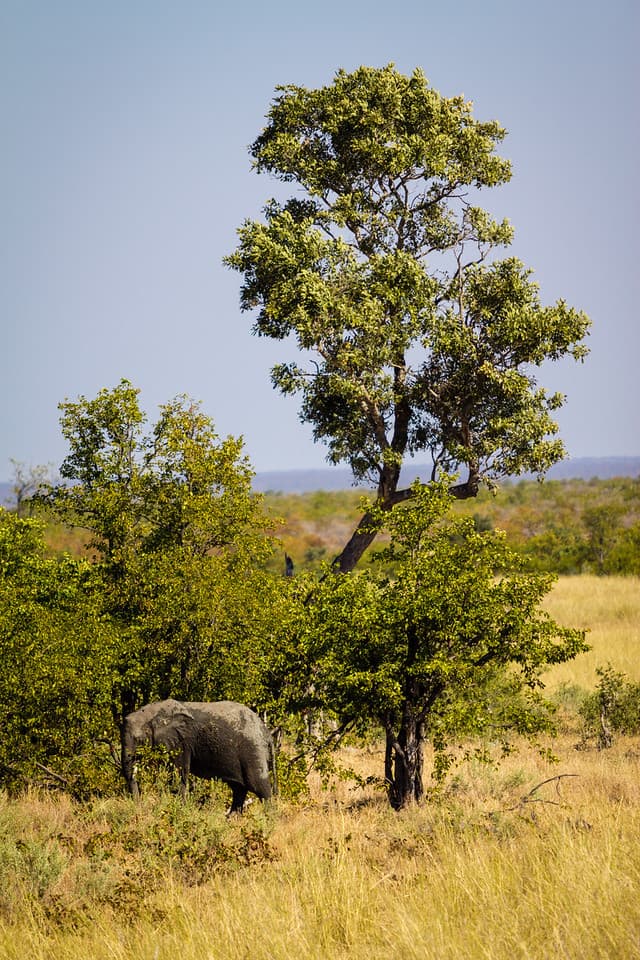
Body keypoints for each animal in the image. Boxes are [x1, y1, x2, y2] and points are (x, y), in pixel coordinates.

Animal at [121, 699, 276, 813]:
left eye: (139, 740)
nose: (138, 805)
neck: (153, 713)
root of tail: (266, 732)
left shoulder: (182, 741)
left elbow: (178, 775)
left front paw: (181, 811)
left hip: (253, 750)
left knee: (259, 787)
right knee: (239, 789)